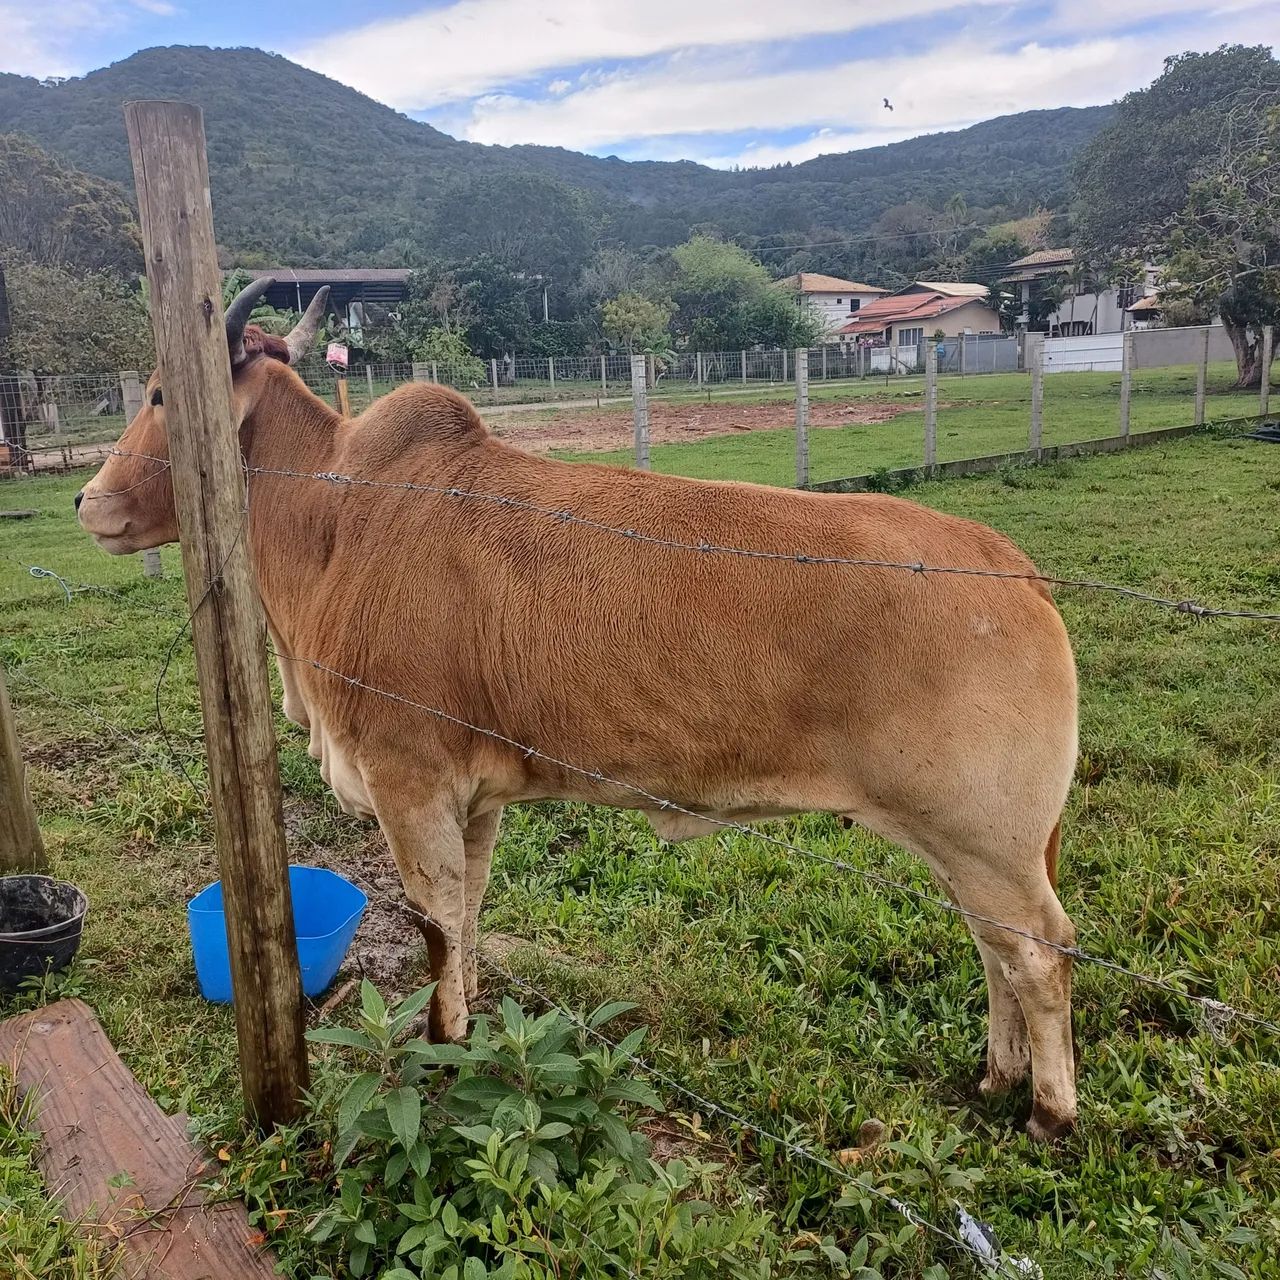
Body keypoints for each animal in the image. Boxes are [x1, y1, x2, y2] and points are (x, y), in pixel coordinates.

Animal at [77, 279, 1080, 1140]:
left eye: (162, 393)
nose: (87, 499)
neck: (333, 523)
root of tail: (1011, 566)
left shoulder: (409, 783)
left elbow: (436, 930)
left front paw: (440, 1050)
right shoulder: (471, 800)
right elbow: (467, 920)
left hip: (986, 839)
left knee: (1039, 955)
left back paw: (1049, 1110)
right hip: (964, 846)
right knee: (993, 950)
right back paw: (996, 1077)